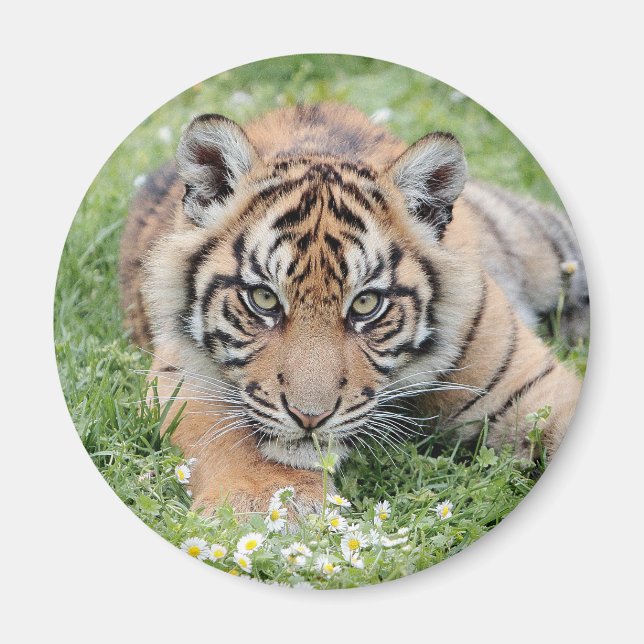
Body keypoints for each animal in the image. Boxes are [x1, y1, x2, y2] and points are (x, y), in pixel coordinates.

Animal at [119, 103, 589, 515]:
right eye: (264, 298)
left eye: (366, 304)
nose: (309, 418)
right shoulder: (182, 376)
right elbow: (224, 437)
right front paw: (269, 500)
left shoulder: (531, 387)